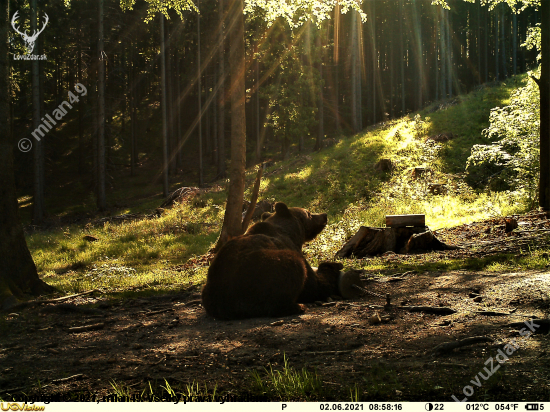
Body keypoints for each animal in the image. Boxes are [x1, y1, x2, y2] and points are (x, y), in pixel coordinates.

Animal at [201, 201, 342, 320]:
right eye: (308, 213)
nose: (324, 215)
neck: (293, 233)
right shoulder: (290, 246)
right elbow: (316, 285)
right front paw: (334, 265)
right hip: (260, 274)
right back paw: (297, 306)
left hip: (211, 287)